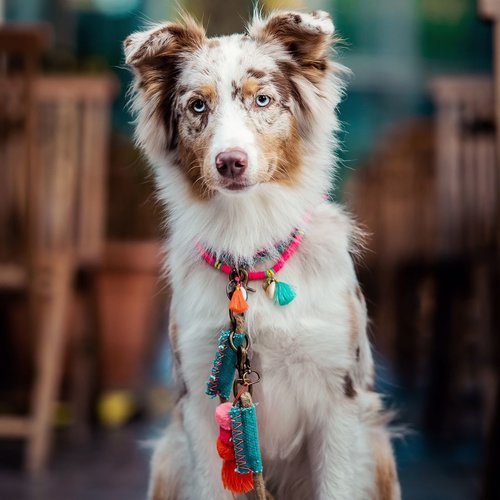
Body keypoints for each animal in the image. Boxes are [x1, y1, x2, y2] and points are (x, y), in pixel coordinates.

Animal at [123, 8, 400, 500]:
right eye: (198, 106)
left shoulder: (339, 397)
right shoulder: (200, 399)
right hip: (168, 458)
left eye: (263, 100)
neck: (247, 250)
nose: (230, 162)